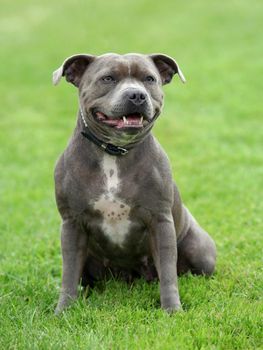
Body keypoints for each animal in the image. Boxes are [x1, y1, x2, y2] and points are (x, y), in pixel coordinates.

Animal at [52, 52, 218, 314]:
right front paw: (63, 311)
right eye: (108, 78)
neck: (114, 152)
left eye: (149, 79)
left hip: (200, 252)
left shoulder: (160, 222)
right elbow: (69, 274)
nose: (137, 95)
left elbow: (168, 274)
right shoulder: (72, 224)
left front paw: (172, 310)